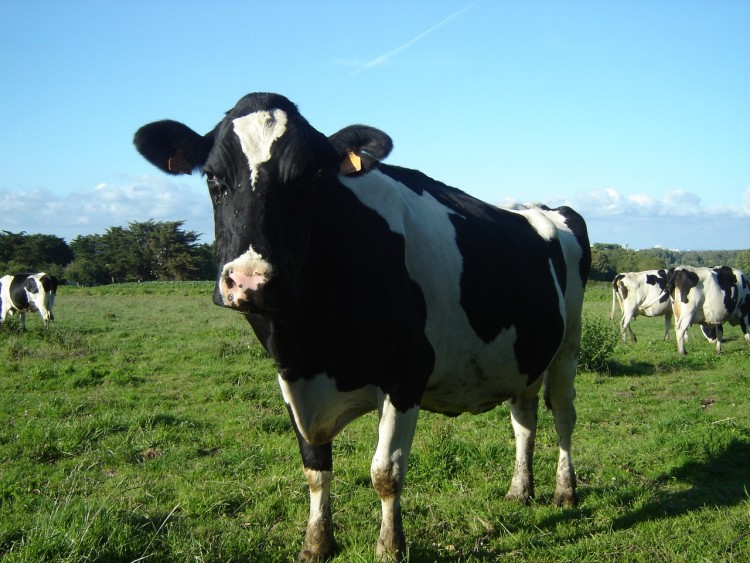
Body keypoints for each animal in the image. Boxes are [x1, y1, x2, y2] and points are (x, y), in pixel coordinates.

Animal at [135, 91, 592, 560]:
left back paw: (565, 491)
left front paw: (390, 547)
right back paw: (520, 490)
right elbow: (315, 468)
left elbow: (385, 473)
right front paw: (317, 542)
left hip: (568, 344)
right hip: (524, 355)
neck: (311, 344)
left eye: (309, 178)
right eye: (213, 178)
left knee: (564, 414)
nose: (250, 280)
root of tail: (541, 206)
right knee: (524, 417)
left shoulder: (406, 375)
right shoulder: (292, 381)